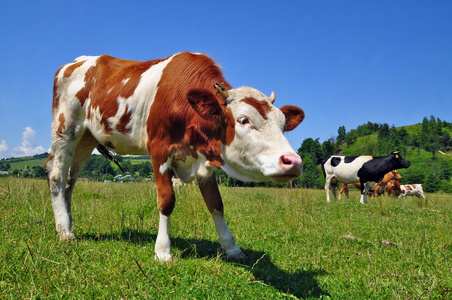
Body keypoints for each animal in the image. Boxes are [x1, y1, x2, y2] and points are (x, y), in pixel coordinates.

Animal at [44, 52, 306, 262]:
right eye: (243, 119)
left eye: (283, 124)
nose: (293, 162)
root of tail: (76, 61)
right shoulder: (159, 152)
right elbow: (166, 201)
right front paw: (162, 251)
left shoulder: (204, 159)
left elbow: (216, 204)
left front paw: (231, 248)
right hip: (65, 127)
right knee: (57, 174)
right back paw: (66, 232)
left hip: (87, 137)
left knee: (70, 180)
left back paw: (63, 224)